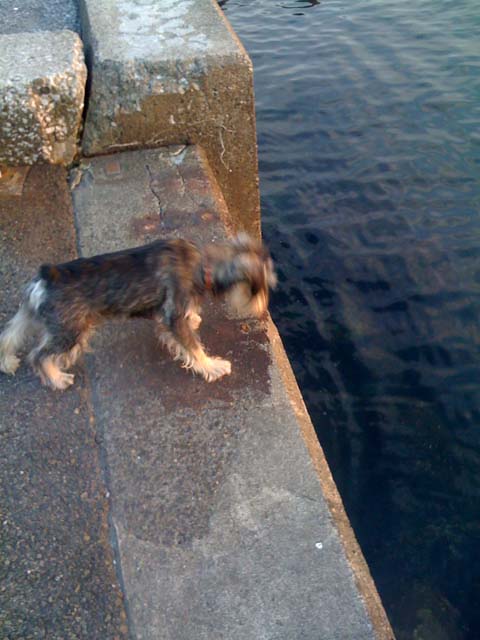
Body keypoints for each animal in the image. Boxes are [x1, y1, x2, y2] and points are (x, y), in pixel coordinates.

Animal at [0, 233, 276, 390]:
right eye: (260, 286)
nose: (264, 310)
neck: (202, 264)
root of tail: (46, 277)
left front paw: (194, 317)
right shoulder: (173, 319)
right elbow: (193, 348)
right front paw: (212, 367)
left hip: (38, 317)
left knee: (9, 335)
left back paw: (7, 362)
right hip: (69, 332)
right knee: (38, 355)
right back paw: (57, 379)